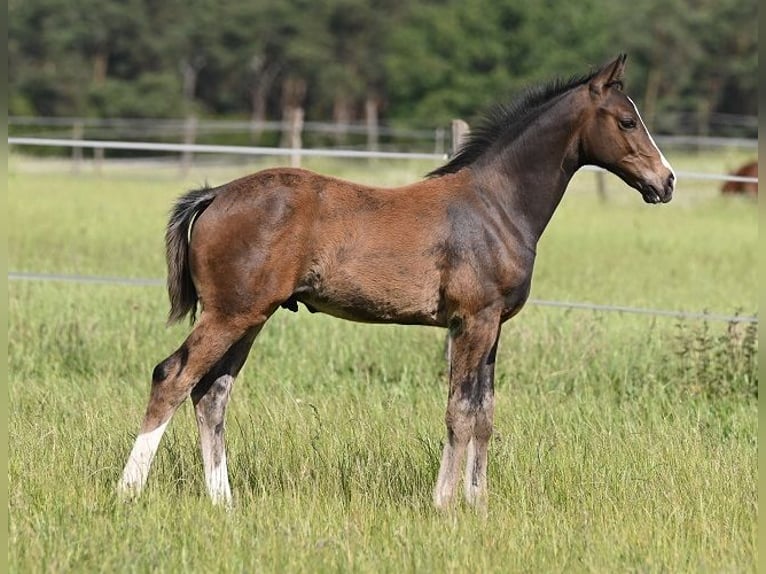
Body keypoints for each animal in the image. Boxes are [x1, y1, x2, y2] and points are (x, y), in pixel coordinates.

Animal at [120, 54, 680, 510]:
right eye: (627, 120)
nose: (667, 181)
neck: (495, 206)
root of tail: (213, 195)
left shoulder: (494, 326)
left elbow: (485, 414)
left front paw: (477, 504)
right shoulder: (472, 321)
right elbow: (460, 412)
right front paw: (444, 503)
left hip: (250, 316)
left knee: (211, 393)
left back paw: (225, 502)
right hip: (230, 313)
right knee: (172, 377)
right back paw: (128, 491)